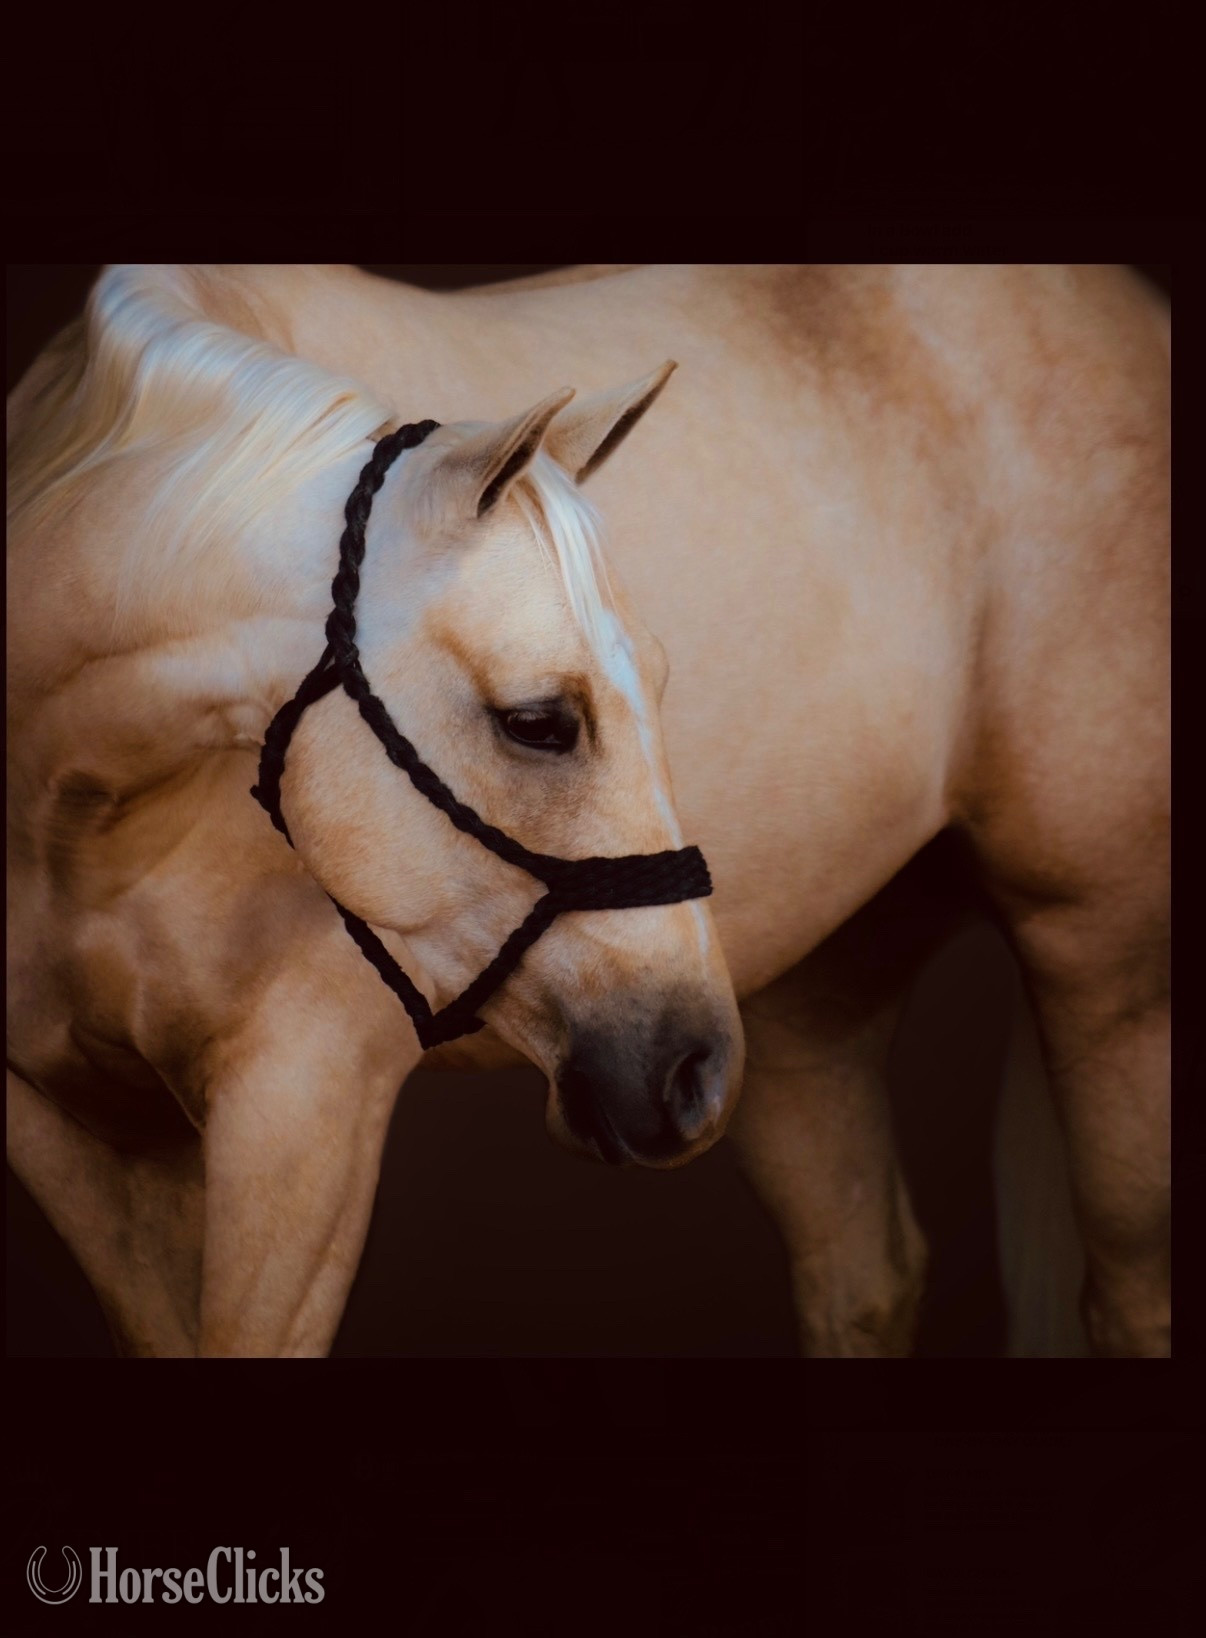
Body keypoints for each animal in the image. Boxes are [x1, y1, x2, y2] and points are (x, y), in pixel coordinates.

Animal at [7, 263, 1170, 1359]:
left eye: (657, 681)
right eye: (540, 722)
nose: (694, 1065)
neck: (84, 819)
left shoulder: (302, 1107)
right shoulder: (75, 1133)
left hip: (1107, 974)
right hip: (810, 1010)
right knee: (866, 1279)